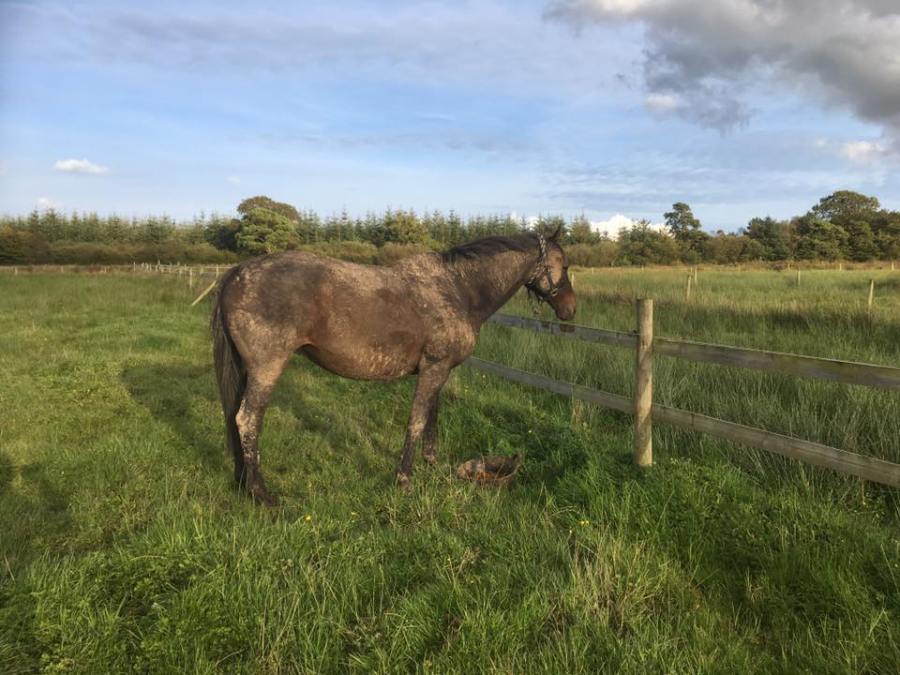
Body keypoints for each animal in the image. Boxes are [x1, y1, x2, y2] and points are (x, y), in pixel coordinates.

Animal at [211, 230, 576, 504]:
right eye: (565, 264)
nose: (571, 310)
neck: (458, 288)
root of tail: (236, 273)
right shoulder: (434, 369)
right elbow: (416, 422)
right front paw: (404, 481)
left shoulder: (439, 371)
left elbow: (431, 420)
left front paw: (432, 465)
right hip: (267, 369)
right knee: (247, 420)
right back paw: (261, 494)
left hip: (246, 371)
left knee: (234, 417)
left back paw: (243, 483)